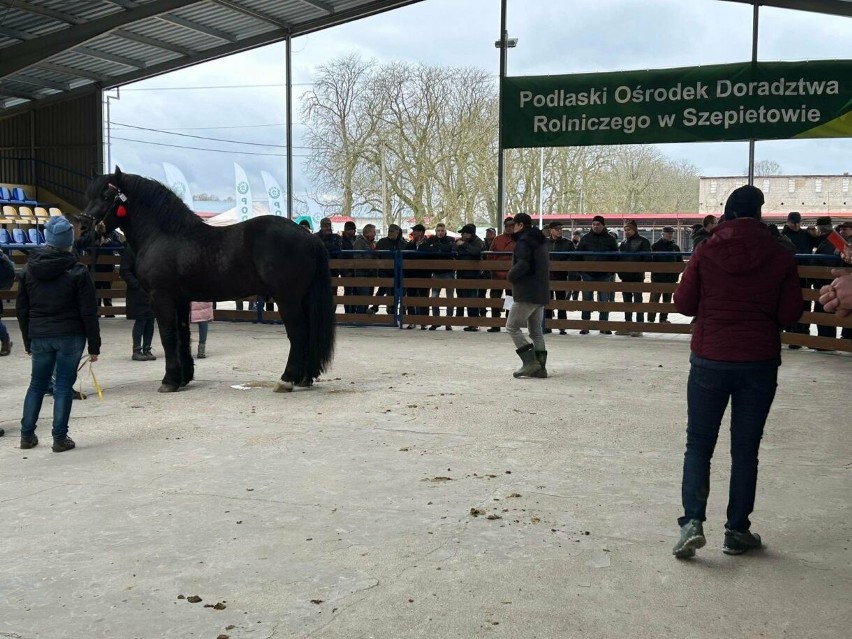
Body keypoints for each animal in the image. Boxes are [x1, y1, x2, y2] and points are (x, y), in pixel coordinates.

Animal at [80, 168, 332, 392]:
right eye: (89, 196)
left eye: (106, 196)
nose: (83, 229)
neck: (164, 235)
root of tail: (309, 237)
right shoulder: (181, 300)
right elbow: (183, 334)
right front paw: (183, 378)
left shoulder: (161, 297)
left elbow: (168, 335)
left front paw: (169, 381)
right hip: (303, 298)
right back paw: (304, 378)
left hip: (287, 299)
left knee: (298, 333)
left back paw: (286, 380)